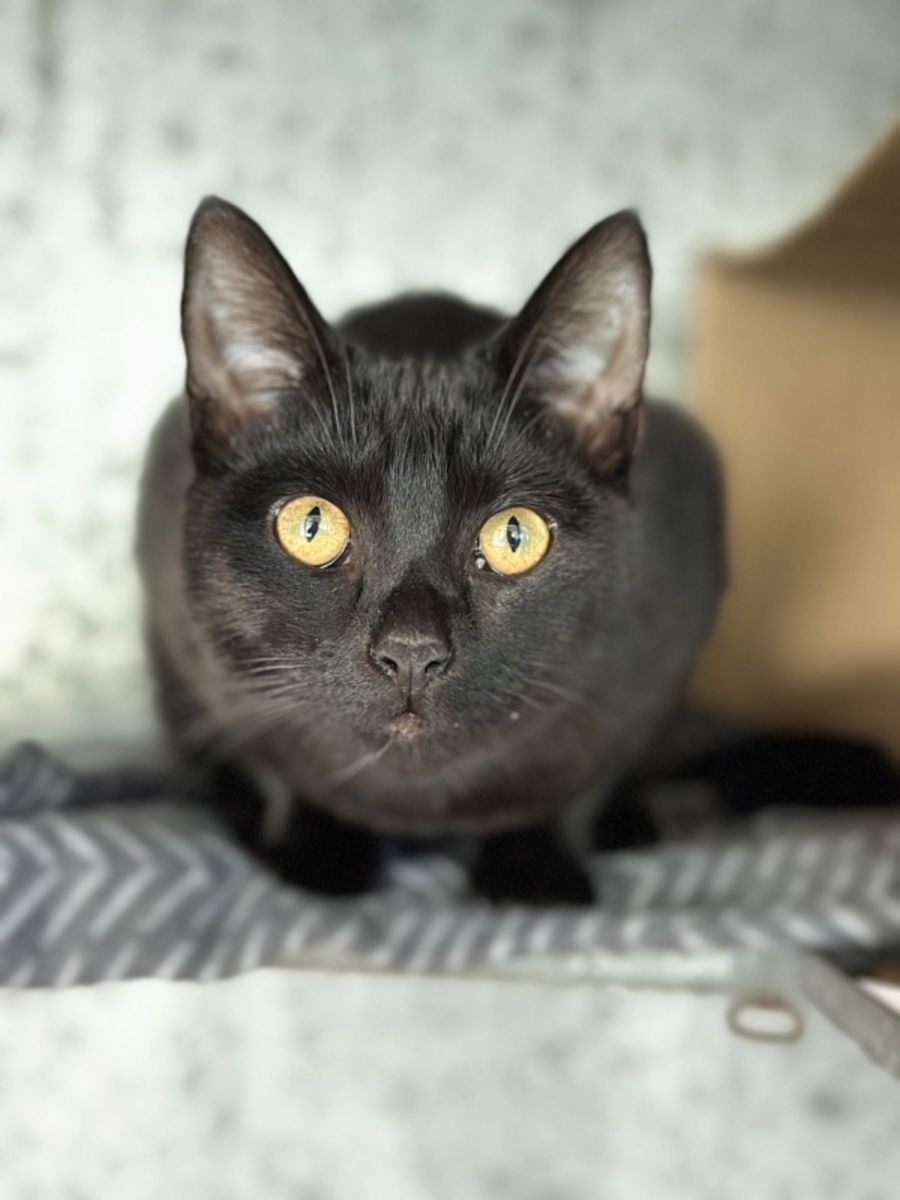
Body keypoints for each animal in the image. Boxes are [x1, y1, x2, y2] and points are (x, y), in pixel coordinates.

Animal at [136, 197, 725, 903]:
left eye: (515, 535)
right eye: (312, 526)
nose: (411, 651)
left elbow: (581, 783)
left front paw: (535, 871)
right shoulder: (194, 654)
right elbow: (268, 758)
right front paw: (317, 853)